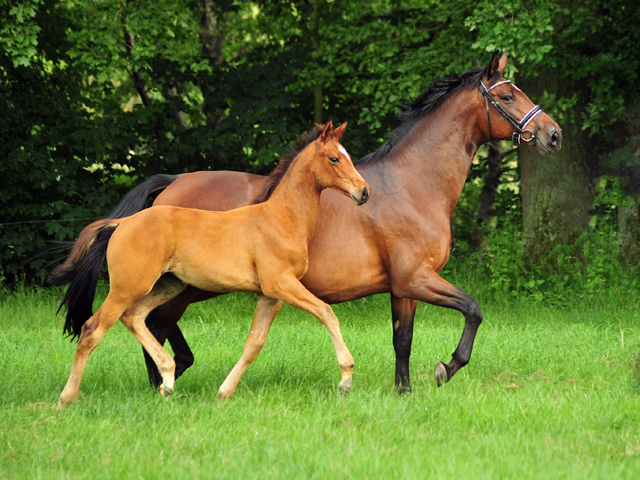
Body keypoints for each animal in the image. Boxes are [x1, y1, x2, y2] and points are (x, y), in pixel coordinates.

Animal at [50, 121, 370, 404]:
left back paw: (167, 379)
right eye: (334, 158)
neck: (281, 218)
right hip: (128, 287)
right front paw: (345, 379)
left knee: (134, 317)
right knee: (93, 329)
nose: (364, 192)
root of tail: (122, 223)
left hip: (169, 286)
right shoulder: (281, 284)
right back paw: (66, 398)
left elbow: (254, 343)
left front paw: (225, 392)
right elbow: (326, 312)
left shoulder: (270, 295)